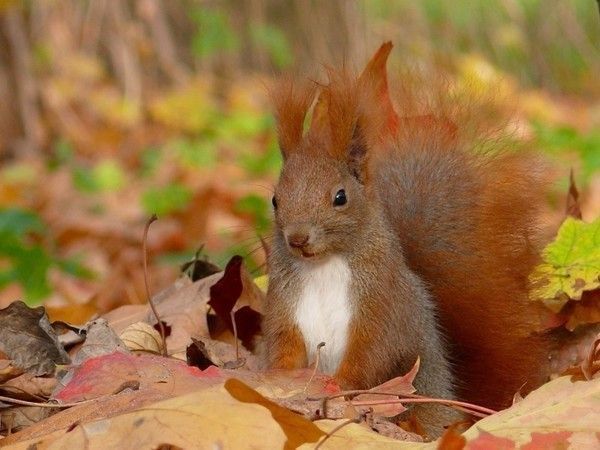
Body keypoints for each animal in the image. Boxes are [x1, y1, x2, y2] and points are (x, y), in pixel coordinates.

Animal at [262, 43, 552, 436]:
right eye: (275, 200)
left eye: (340, 197)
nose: (297, 238)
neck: (324, 264)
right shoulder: (285, 305)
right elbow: (283, 347)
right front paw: (277, 382)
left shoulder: (381, 305)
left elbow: (371, 354)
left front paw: (337, 387)